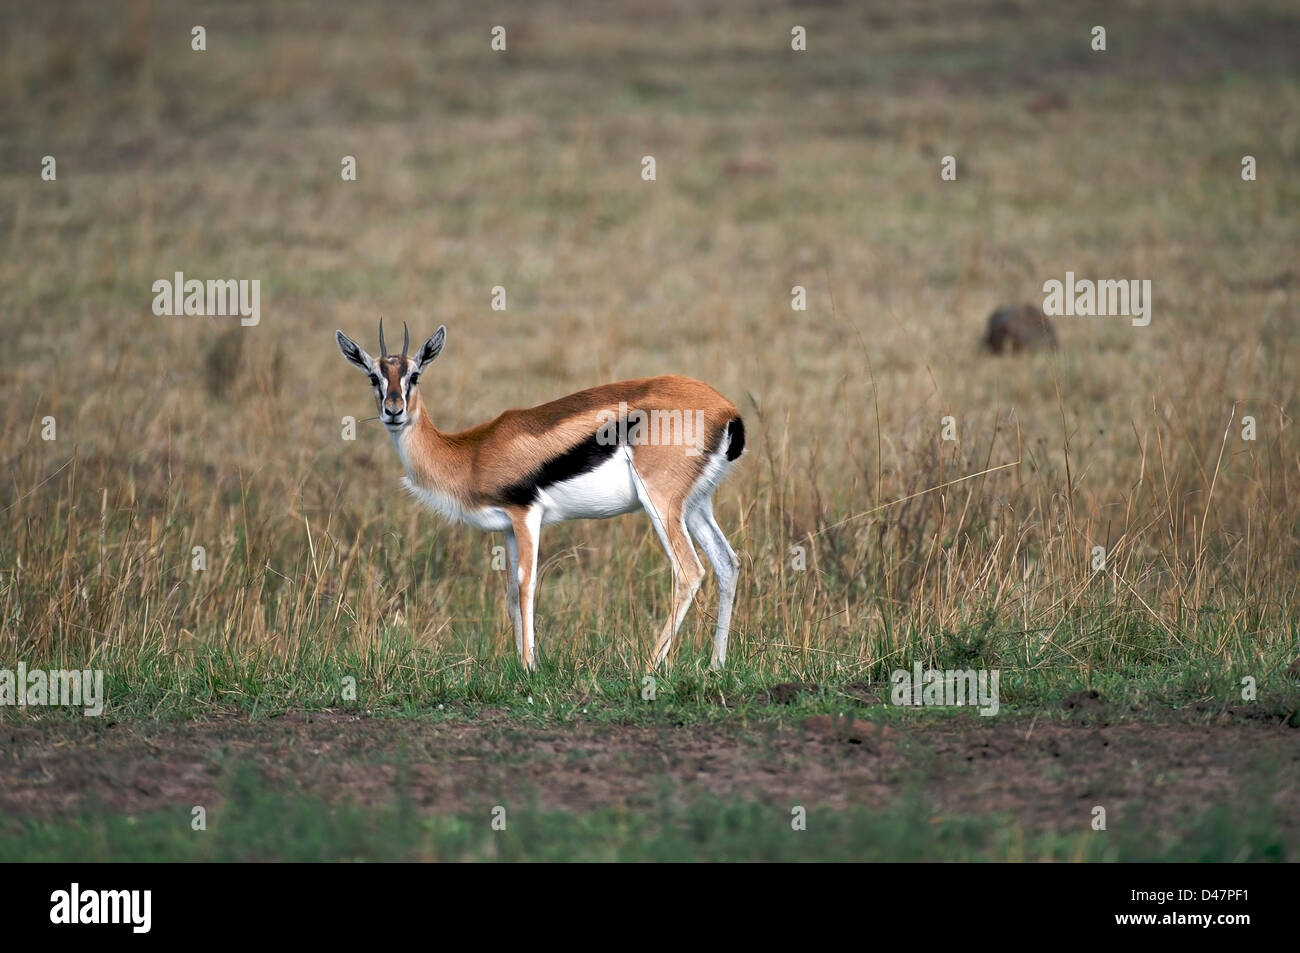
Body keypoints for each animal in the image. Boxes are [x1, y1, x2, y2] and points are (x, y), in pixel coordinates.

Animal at [335, 321, 746, 671]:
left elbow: (526, 584)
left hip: (660, 503)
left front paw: (530, 667)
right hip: (695, 506)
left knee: (689, 571)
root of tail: (728, 410)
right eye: (374, 376)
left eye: (414, 375)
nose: (393, 410)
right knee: (728, 563)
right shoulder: (507, 529)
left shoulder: (526, 514)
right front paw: (522, 664)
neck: (473, 453)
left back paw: (649, 667)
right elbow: (509, 593)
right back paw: (716, 666)